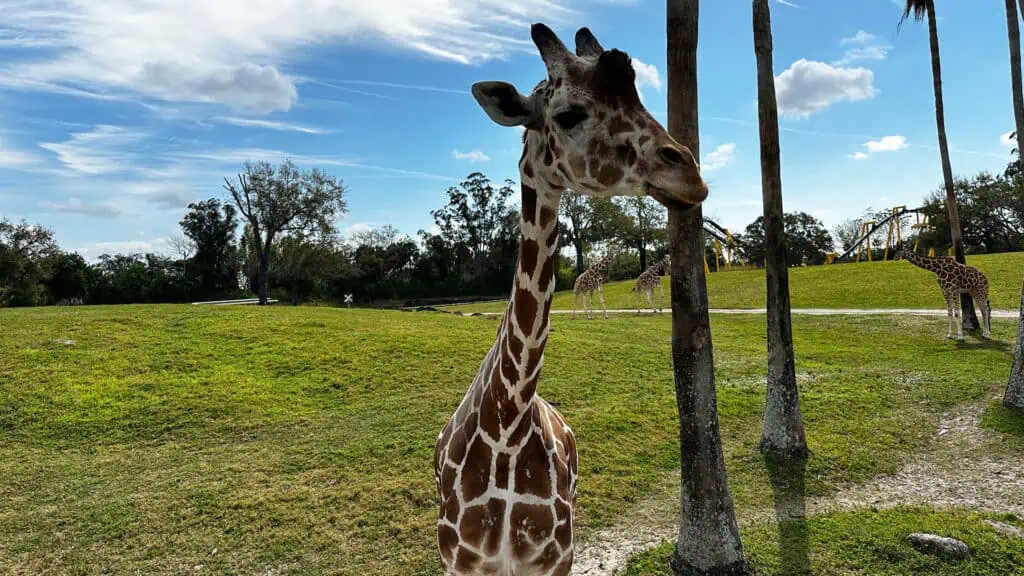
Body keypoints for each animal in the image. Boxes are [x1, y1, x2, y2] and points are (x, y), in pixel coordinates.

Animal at [434, 23, 712, 573]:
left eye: (640, 96)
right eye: (568, 115)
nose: (690, 175)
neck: (508, 423)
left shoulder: (554, 557)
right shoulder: (460, 560)